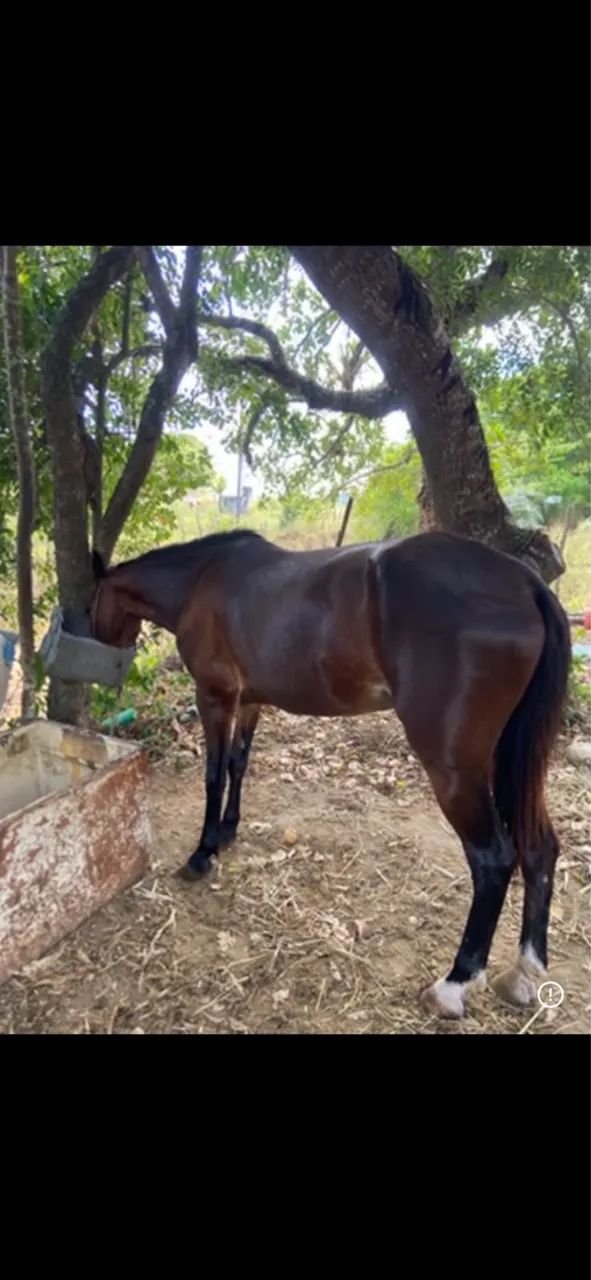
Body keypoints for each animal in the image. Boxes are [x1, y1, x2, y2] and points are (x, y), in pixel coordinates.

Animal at [90, 528, 571, 1020]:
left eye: (93, 599)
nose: (98, 644)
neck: (201, 580)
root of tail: (525, 582)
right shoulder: (249, 700)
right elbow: (239, 764)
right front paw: (227, 831)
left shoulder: (215, 697)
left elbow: (214, 775)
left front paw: (202, 853)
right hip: (508, 757)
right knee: (539, 848)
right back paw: (524, 973)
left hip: (456, 770)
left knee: (493, 860)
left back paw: (455, 983)